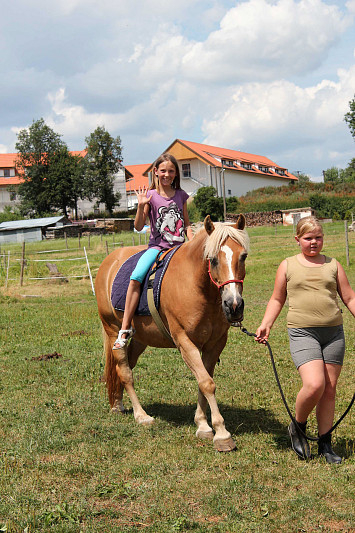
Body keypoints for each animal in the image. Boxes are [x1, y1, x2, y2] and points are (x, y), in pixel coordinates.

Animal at [95, 214, 250, 450]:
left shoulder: (215, 344)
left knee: (124, 368)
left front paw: (203, 425)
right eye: (213, 259)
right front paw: (221, 433)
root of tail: (108, 261)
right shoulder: (184, 341)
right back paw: (141, 415)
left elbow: (205, 381)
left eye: (243, 256)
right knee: (125, 371)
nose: (234, 306)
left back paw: (118, 404)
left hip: (140, 340)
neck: (197, 287)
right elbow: (207, 383)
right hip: (113, 331)